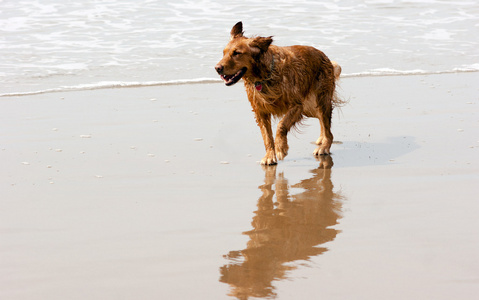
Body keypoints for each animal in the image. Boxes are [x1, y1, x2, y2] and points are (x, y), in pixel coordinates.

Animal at [216, 22, 344, 165]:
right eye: (224, 53)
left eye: (237, 53)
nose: (217, 68)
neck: (263, 76)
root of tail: (325, 56)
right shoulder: (260, 112)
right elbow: (267, 136)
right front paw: (270, 155)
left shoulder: (296, 106)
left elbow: (281, 125)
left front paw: (281, 148)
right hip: (309, 107)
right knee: (321, 120)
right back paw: (321, 139)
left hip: (321, 100)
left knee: (328, 128)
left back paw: (324, 146)